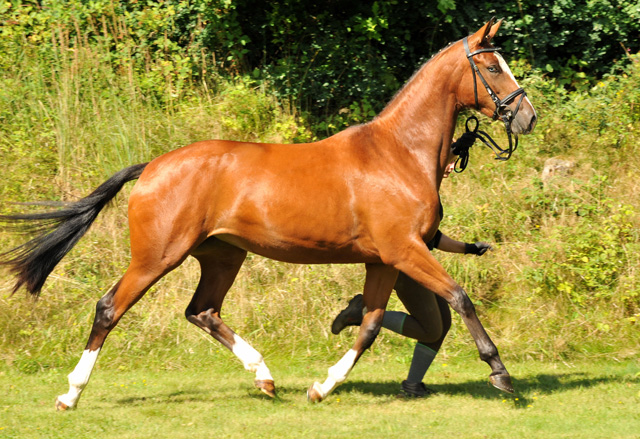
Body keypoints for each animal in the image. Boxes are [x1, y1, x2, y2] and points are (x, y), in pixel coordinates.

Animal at [1, 18, 536, 410]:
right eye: (492, 68)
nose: (527, 117)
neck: (398, 154)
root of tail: (152, 166)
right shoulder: (405, 251)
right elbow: (461, 298)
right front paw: (501, 375)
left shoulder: (384, 259)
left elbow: (368, 326)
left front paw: (322, 386)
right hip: (158, 256)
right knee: (110, 307)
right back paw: (71, 394)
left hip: (221, 256)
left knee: (202, 310)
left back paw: (265, 377)